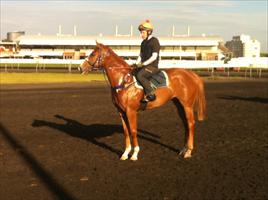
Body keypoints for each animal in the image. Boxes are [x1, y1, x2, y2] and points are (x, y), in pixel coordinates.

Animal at [78, 42, 206, 161]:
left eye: (93, 54)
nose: (80, 67)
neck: (123, 81)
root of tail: (191, 74)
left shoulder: (131, 111)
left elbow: (133, 131)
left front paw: (134, 154)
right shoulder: (121, 112)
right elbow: (126, 132)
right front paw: (125, 153)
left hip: (187, 105)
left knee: (190, 124)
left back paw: (188, 151)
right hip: (179, 104)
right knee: (186, 124)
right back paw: (183, 149)